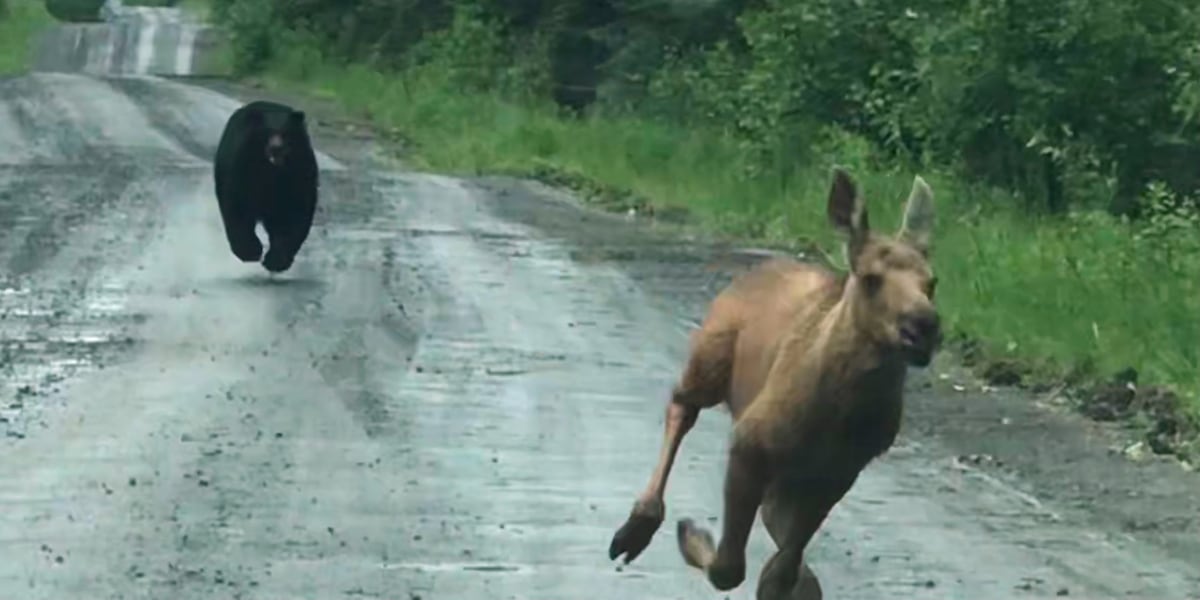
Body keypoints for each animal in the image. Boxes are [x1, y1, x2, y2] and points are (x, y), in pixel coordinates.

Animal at [213, 100, 319, 274]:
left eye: (285, 132)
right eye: (267, 132)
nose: (276, 147)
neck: (272, 171)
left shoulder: (300, 173)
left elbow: (295, 213)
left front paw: (276, 260)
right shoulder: (242, 168)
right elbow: (238, 205)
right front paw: (249, 251)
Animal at [607, 167, 941, 600]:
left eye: (932, 282)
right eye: (870, 278)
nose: (924, 326)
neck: (840, 413)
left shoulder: (839, 472)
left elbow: (783, 566)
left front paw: (790, 581)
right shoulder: (749, 442)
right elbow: (730, 568)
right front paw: (693, 535)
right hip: (710, 356)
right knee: (683, 404)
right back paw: (639, 527)